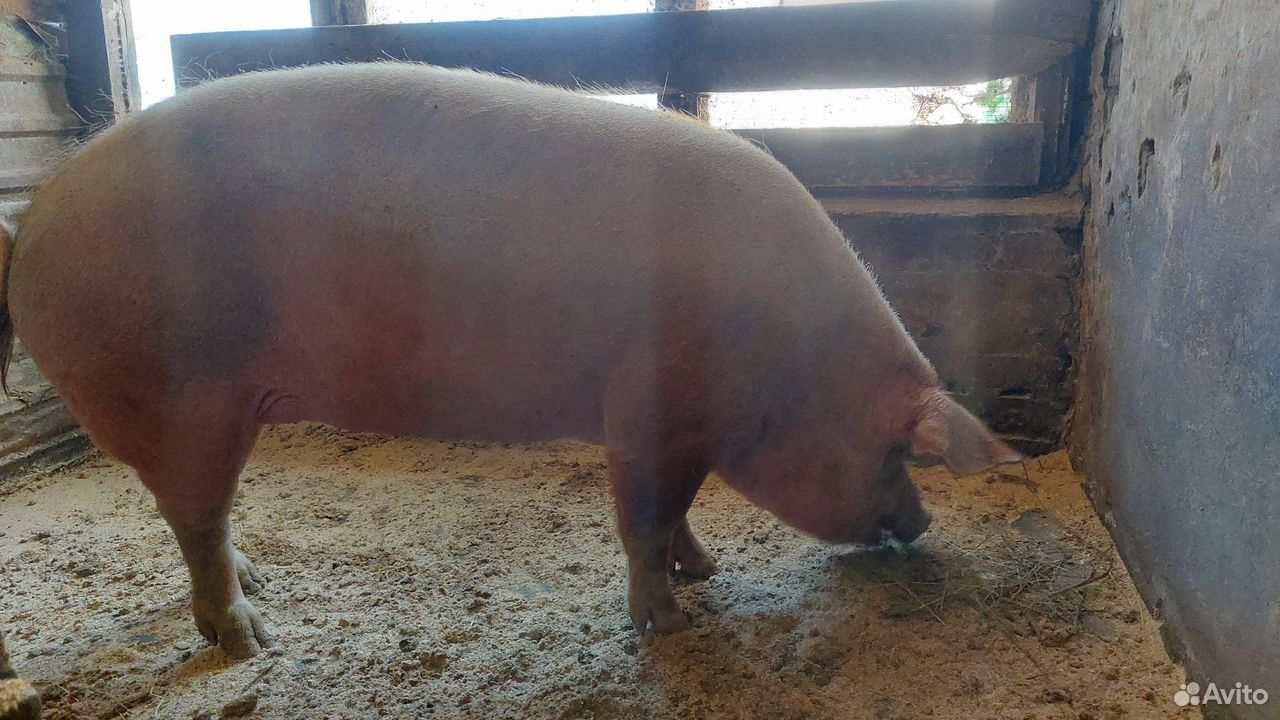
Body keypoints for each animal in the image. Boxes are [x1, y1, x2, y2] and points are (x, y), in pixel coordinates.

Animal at [0, 63, 1021, 659]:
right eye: (894, 454)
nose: (925, 521)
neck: (791, 362)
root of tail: (34, 219)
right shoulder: (648, 411)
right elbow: (642, 521)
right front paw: (671, 625)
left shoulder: (682, 432)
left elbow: (679, 514)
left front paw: (709, 572)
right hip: (183, 399)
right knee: (196, 526)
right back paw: (251, 642)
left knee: (201, 528)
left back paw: (258, 590)